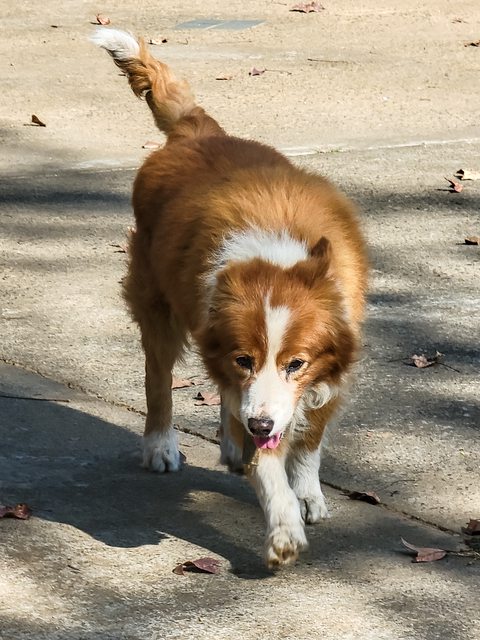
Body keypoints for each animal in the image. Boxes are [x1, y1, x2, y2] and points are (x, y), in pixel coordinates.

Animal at [93, 28, 368, 567]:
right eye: (246, 358)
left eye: (296, 364)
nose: (259, 425)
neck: (275, 263)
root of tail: (195, 131)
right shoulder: (245, 383)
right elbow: (268, 462)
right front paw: (283, 527)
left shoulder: (328, 370)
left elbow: (309, 441)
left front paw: (306, 493)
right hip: (156, 303)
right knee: (158, 378)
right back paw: (162, 444)